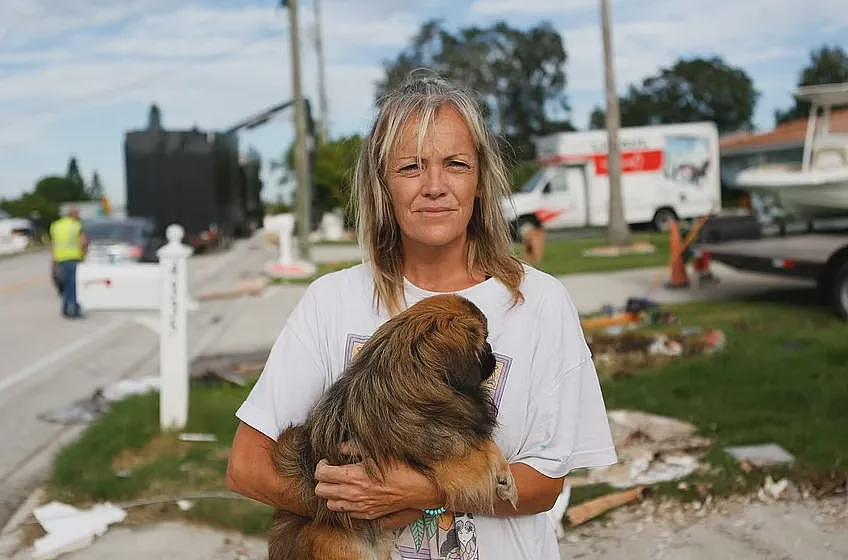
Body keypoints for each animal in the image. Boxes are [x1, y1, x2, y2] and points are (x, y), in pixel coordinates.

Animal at [268, 296, 516, 556]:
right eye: (484, 341)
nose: (492, 354)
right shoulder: (448, 456)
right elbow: (475, 454)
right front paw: (502, 478)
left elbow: (485, 444)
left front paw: (505, 476)